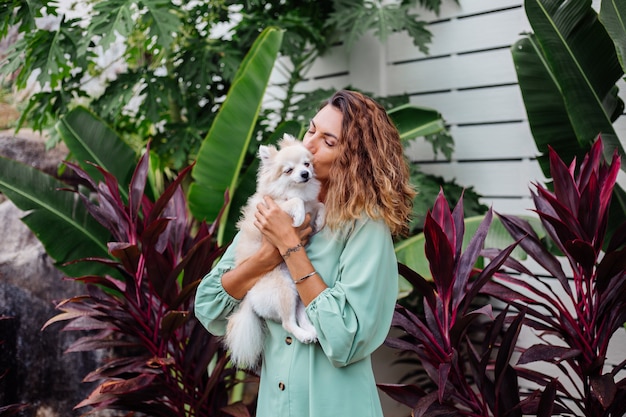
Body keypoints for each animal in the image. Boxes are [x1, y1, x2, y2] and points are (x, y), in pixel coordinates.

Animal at [223, 133, 322, 368]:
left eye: (307, 164)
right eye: (289, 170)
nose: (305, 174)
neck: (296, 190)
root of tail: (249, 298)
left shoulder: (312, 205)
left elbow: (318, 205)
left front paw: (321, 219)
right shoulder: (274, 209)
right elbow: (296, 202)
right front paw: (298, 216)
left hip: (298, 290)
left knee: (300, 315)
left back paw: (311, 331)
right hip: (283, 290)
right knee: (288, 323)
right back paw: (304, 334)